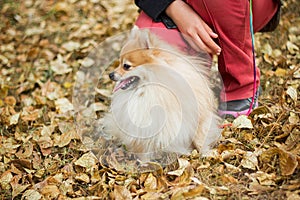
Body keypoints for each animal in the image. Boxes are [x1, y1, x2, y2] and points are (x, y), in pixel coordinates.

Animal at [103, 28, 220, 159]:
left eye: (126, 66)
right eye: (118, 63)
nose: (110, 74)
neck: (152, 88)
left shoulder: (197, 115)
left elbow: (199, 137)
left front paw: (205, 152)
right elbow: (144, 148)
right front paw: (145, 162)